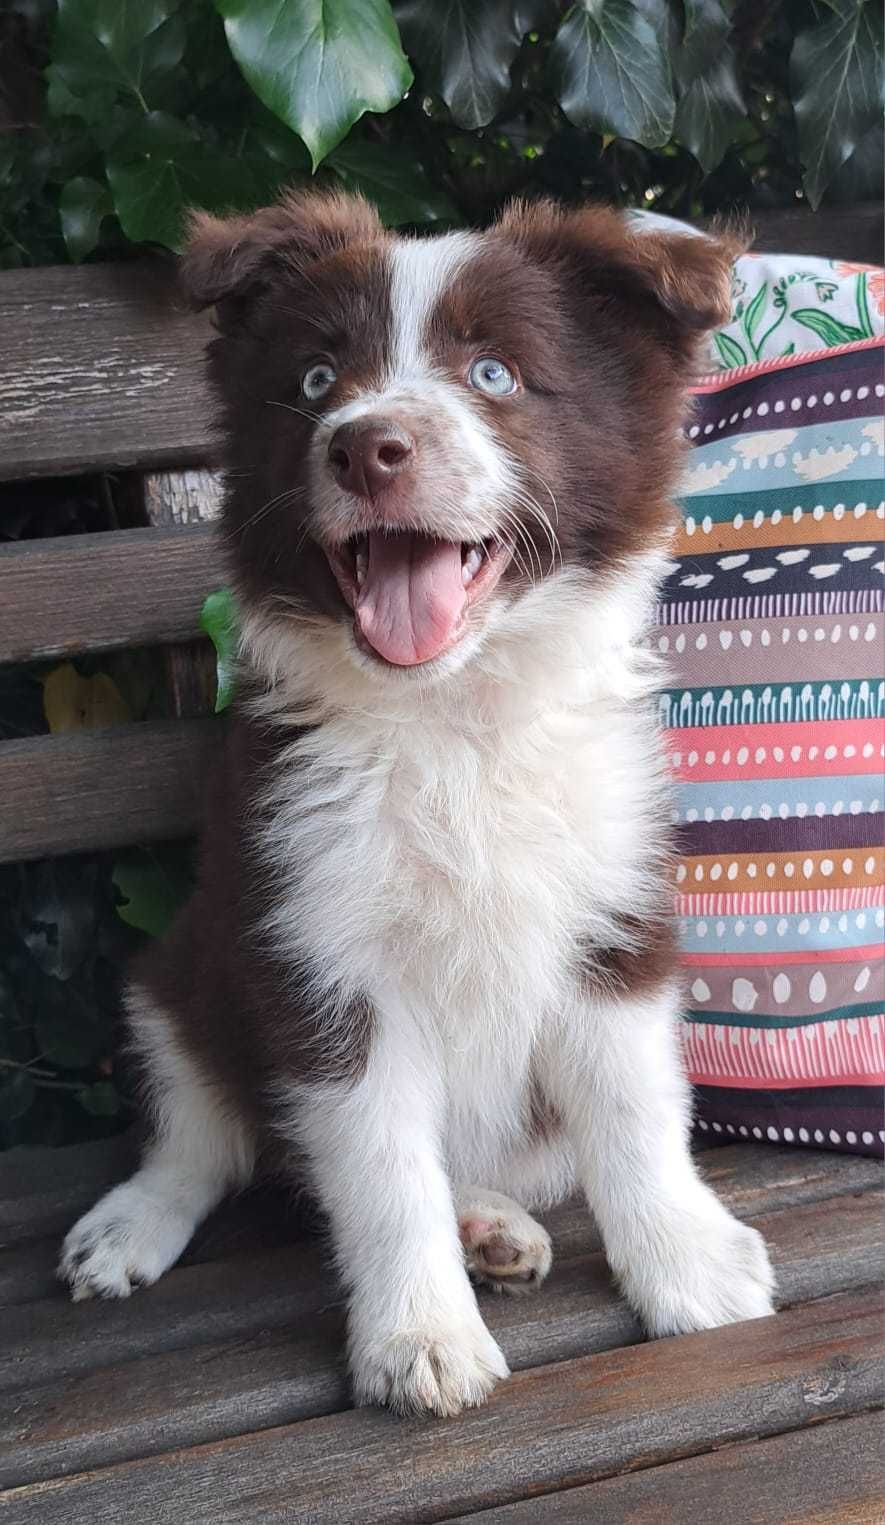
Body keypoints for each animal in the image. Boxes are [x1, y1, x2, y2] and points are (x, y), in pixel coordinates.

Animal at [58, 190, 775, 1415]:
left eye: (494, 374)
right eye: (312, 381)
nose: (366, 444)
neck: (455, 717)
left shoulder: (615, 907)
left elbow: (635, 1106)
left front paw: (688, 1266)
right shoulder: (315, 948)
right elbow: (379, 1163)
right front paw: (421, 1341)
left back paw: (493, 1225)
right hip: (178, 965)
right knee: (206, 1133)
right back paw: (131, 1225)